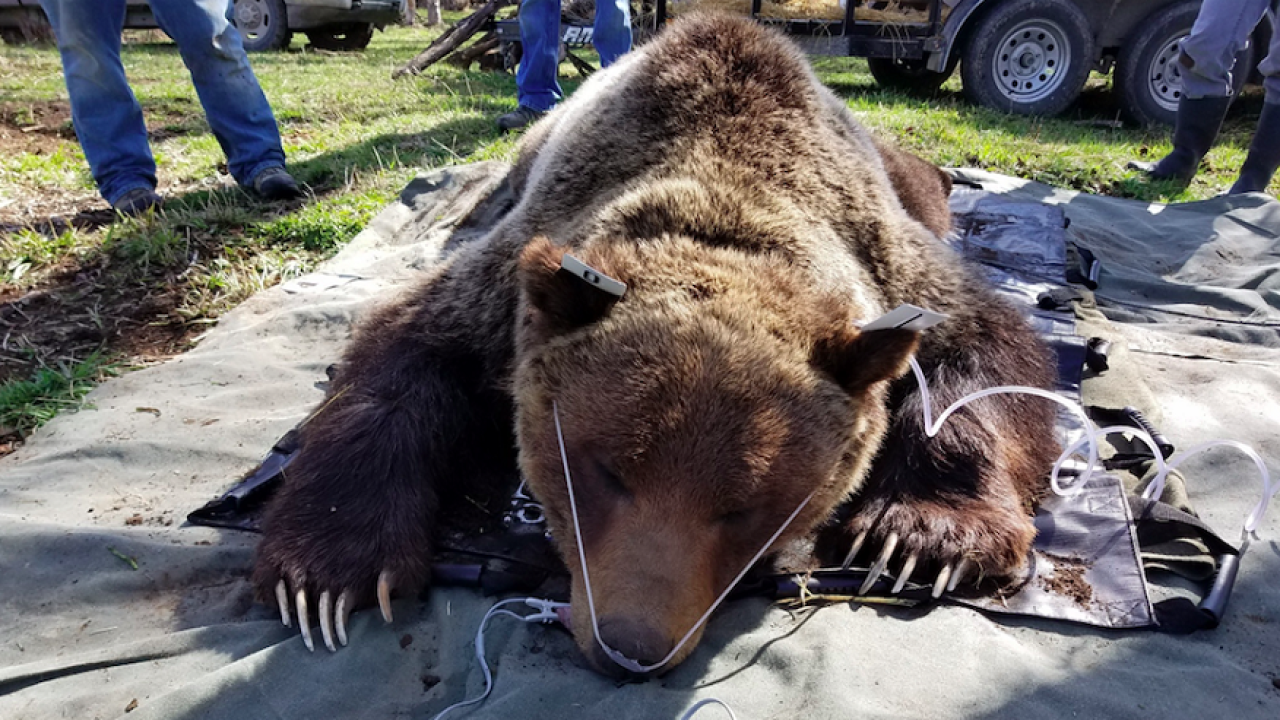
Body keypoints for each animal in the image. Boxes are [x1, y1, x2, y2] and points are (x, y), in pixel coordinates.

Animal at [253, 13, 1058, 677]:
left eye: (749, 509)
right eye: (602, 471)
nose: (630, 648)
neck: (727, 200)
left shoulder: (891, 259)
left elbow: (986, 346)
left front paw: (922, 539)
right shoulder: (509, 279)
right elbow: (403, 349)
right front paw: (325, 575)